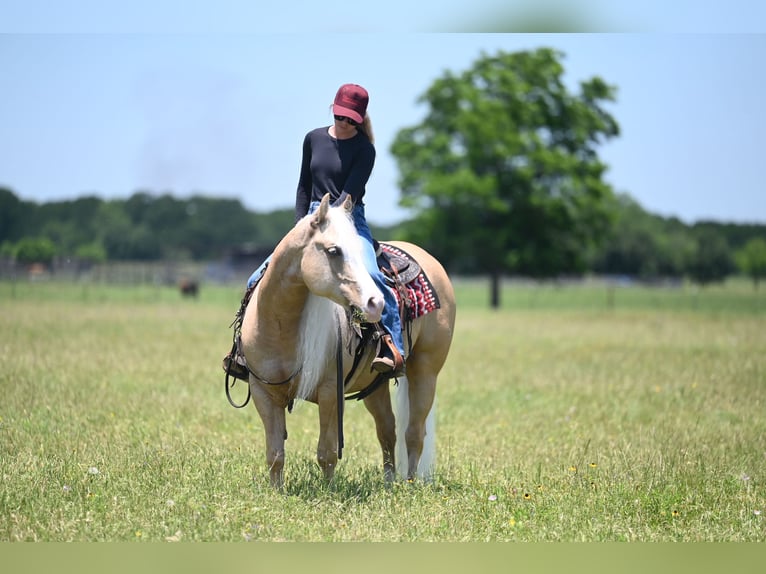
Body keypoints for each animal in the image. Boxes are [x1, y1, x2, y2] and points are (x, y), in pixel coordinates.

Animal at [235, 193, 456, 488]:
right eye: (333, 251)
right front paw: (276, 491)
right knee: (387, 429)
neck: (281, 328)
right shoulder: (263, 392)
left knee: (414, 433)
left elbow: (326, 452)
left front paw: (328, 490)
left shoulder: (330, 391)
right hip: (375, 383)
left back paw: (409, 483)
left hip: (426, 371)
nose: (376, 303)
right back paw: (389, 483)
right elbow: (275, 453)